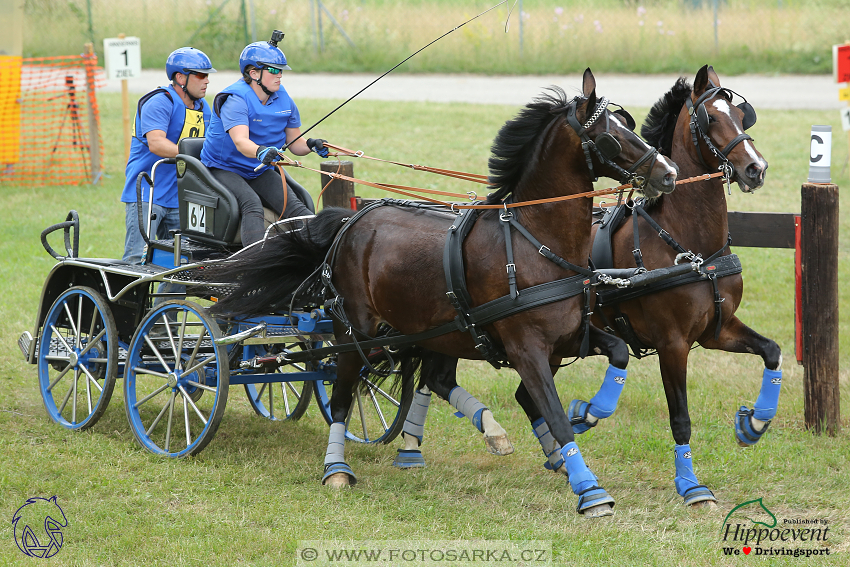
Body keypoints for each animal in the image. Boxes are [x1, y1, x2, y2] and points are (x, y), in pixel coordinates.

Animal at [204, 69, 676, 516]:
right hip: (353, 333)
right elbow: (554, 415)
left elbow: (616, 354)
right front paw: (590, 490)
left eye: (629, 125)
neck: (533, 242)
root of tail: (349, 222)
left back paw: (484, 434)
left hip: (436, 330)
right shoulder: (527, 350)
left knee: (431, 378)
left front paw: (590, 413)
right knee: (340, 396)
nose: (668, 173)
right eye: (612, 135)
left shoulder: (571, 335)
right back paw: (336, 468)